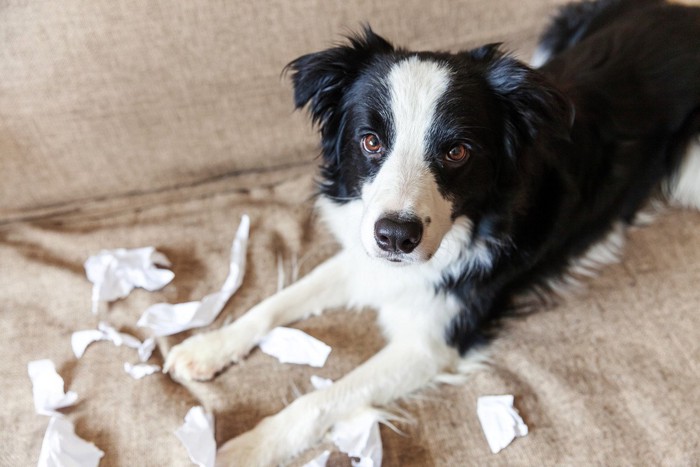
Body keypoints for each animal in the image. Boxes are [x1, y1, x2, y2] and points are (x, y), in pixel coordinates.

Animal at [164, 0, 700, 464]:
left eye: (457, 151)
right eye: (370, 141)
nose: (396, 238)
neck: (471, 221)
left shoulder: (432, 342)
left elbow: (323, 399)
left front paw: (244, 448)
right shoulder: (366, 253)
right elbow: (276, 302)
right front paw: (205, 347)